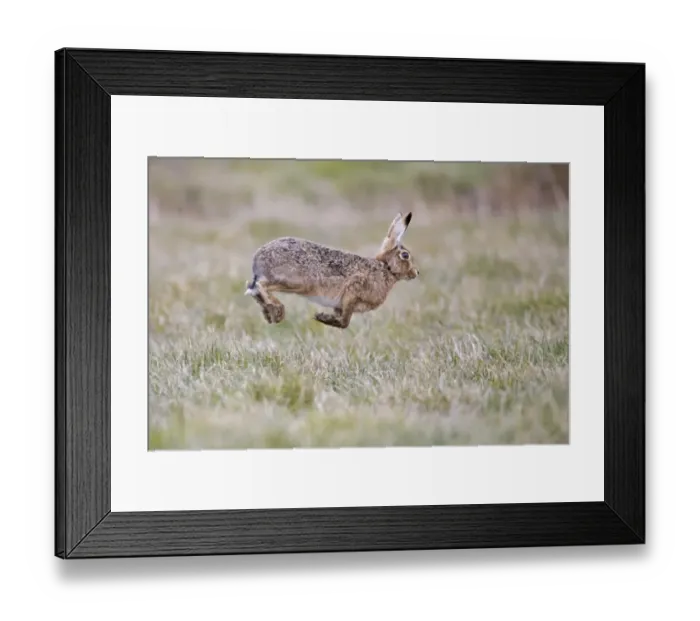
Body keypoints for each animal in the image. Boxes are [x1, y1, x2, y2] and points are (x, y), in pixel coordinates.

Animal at [245, 212, 419, 329]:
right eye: (405, 255)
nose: (416, 273)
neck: (386, 268)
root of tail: (257, 260)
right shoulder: (353, 291)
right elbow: (345, 322)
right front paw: (321, 317)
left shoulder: (340, 305)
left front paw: (323, 317)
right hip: (298, 282)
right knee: (261, 286)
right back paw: (278, 311)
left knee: (253, 288)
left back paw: (270, 313)